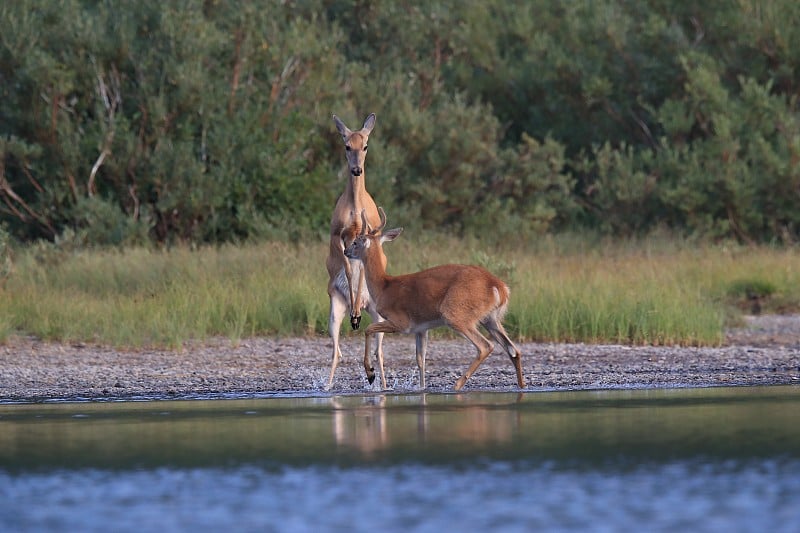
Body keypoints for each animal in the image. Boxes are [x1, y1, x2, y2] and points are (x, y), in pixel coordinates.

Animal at [342, 208, 524, 390]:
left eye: (356, 242)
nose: (345, 251)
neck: (384, 286)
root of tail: (499, 287)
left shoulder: (401, 322)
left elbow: (368, 329)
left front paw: (370, 373)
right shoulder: (421, 328)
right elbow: (420, 359)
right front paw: (422, 387)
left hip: (456, 313)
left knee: (485, 346)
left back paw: (456, 385)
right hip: (490, 318)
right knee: (513, 350)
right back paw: (521, 386)